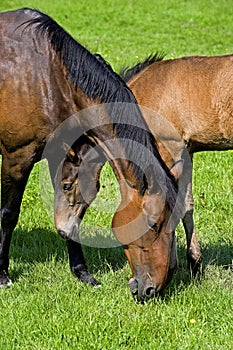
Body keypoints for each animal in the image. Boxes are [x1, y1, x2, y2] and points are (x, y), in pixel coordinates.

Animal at [0, 8, 180, 300]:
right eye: (153, 223)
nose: (152, 288)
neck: (48, 76)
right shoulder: (17, 157)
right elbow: (8, 214)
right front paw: (3, 274)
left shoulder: (63, 156)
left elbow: (69, 218)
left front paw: (82, 273)